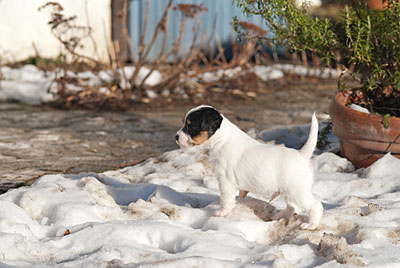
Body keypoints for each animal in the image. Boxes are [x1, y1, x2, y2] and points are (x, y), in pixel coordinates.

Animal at [177, 104, 324, 230]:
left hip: (298, 190)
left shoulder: (225, 181)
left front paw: (222, 212)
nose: (176, 137)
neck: (221, 139)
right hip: (288, 190)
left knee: (315, 206)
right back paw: (279, 217)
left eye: (191, 126)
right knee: (292, 207)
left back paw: (311, 225)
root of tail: (302, 154)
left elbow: (226, 199)